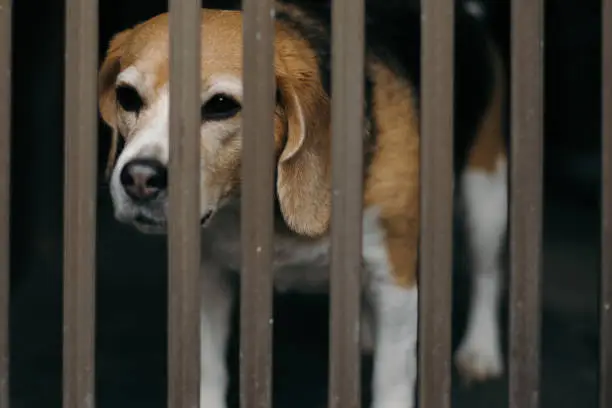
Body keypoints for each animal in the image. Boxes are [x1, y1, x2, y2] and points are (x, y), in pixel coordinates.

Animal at [98, 1, 510, 406]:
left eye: (221, 105)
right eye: (127, 97)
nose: (139, 179)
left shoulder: (395, 279)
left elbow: (391, 380)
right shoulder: (208, 275)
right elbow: (208, 368)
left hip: (486, 201)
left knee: (487, 274)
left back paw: (480, 350)